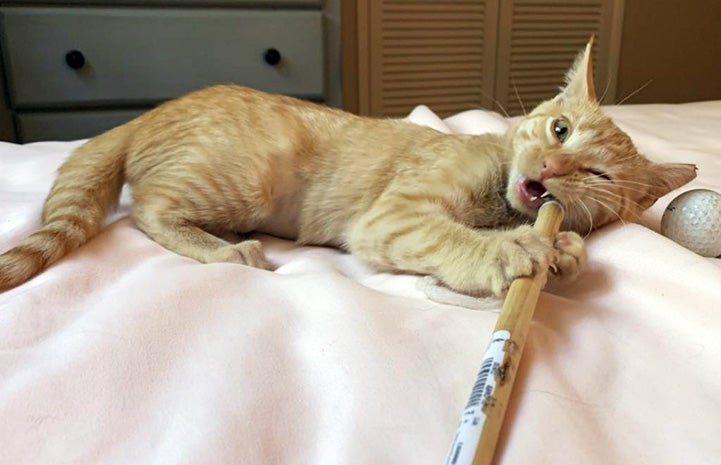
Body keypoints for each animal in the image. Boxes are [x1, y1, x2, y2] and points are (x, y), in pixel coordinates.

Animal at [1, 40, 696, 294]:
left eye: (599, 176)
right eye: (559, 129)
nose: (550, 165)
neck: (499, 194)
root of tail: (142, 117)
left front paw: (565, 250)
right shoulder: (392, 216)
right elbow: (450, 237)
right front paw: (510, 252)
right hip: (246, 178)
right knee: (146, 208)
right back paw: (227, 250)